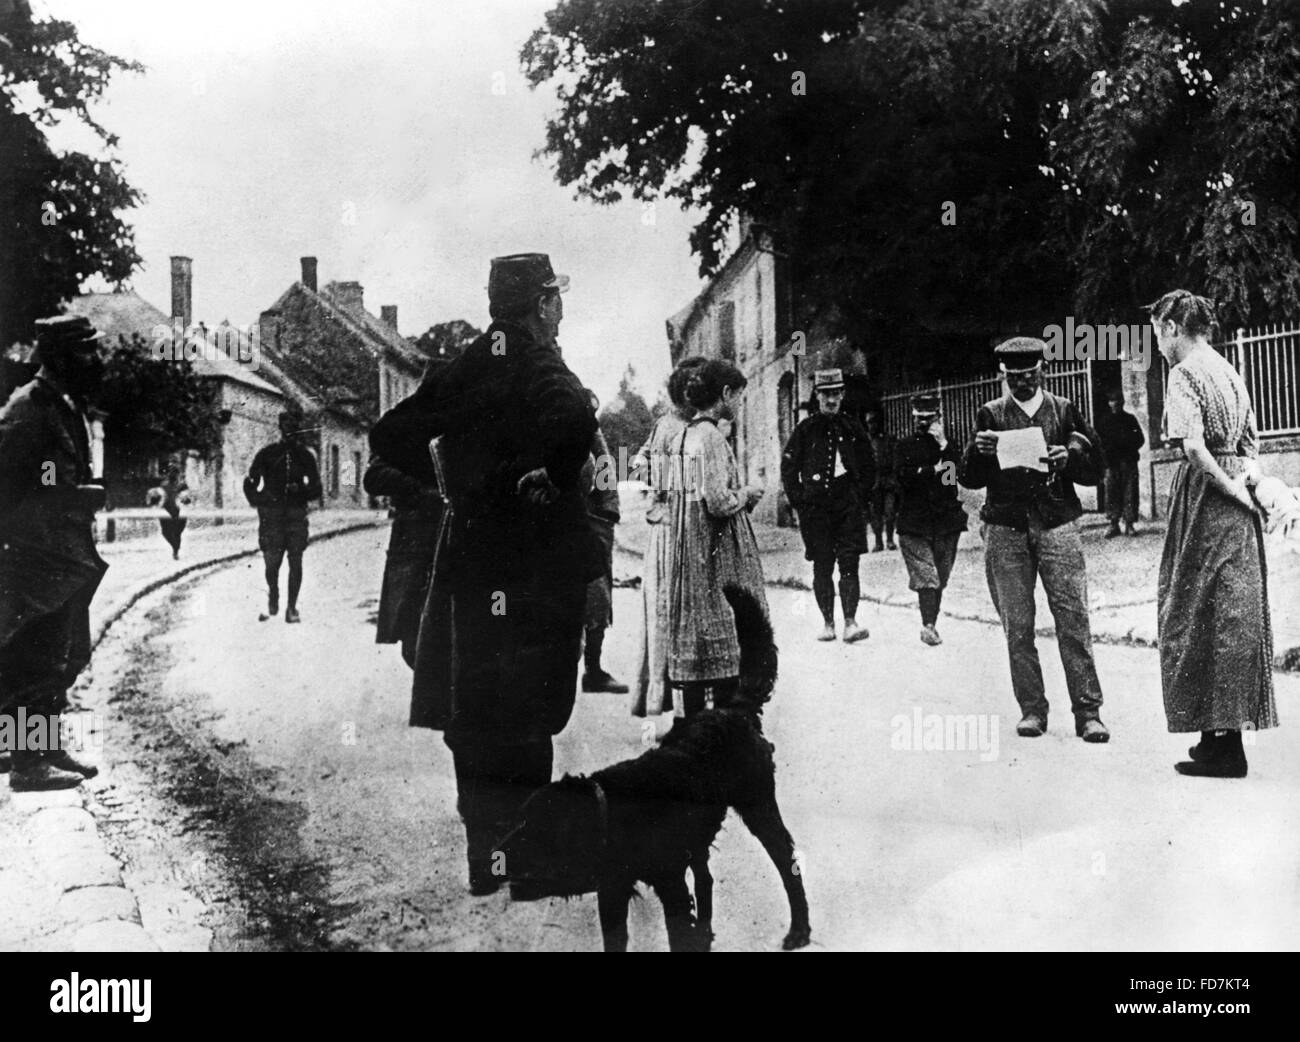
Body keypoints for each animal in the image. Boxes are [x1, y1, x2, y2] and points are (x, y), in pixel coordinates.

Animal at [493, 584, 806, 951]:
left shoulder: (670, 886)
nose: (495, 858)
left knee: (787, 864)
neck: (613, 809)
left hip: (760, 809)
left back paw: (800, 929)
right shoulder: (612, 892)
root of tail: (733, 709)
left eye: (532, 827)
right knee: (706, 878)